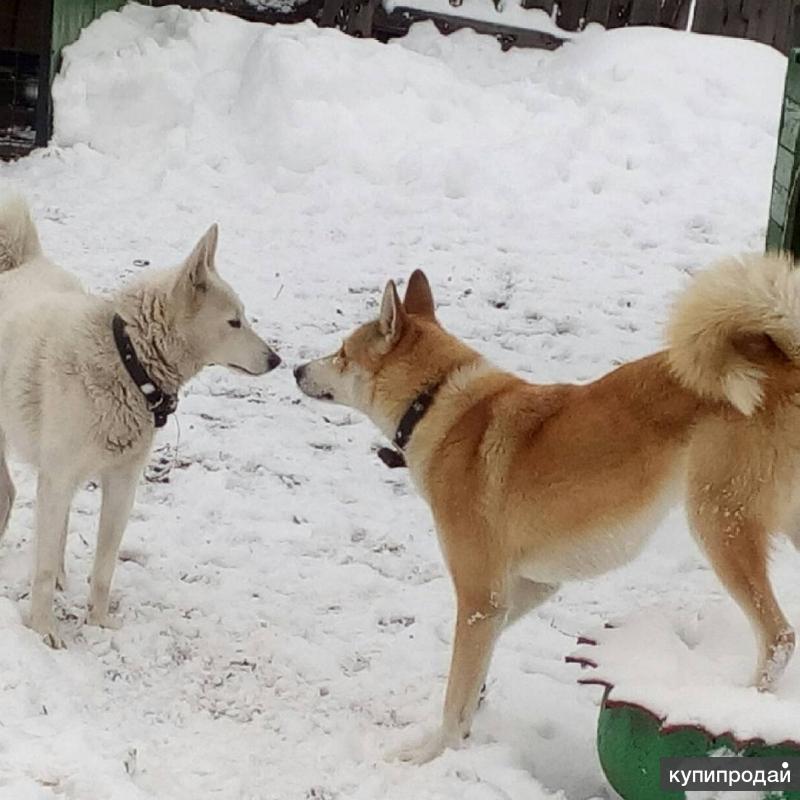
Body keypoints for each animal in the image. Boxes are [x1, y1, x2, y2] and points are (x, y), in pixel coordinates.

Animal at [0, 195, 282, 648]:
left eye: (244, 317)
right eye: (234, 321)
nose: (276, 360)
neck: (128, 358)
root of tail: (21, 263)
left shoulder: (121, 481)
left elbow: (104, 565)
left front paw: (98, 622)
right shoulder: (59, 477)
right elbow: (40, 570)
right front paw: (44, 630)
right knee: (12, 497)